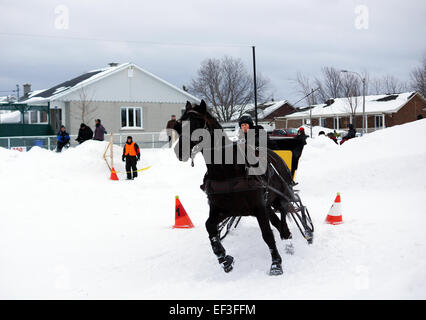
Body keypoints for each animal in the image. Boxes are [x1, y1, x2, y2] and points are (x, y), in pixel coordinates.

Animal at [173, 100, 296, 276]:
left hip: (280, 195)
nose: (179, 151)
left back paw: (287, 236)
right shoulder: (223, 209)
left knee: (284, 211)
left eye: (196, 124)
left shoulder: (258, 207)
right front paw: (224, 258)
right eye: (179, 125)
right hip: (266, 204)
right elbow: (210, 227)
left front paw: (276, 264)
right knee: (276, 219)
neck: (226, 170)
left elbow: (267, 234)